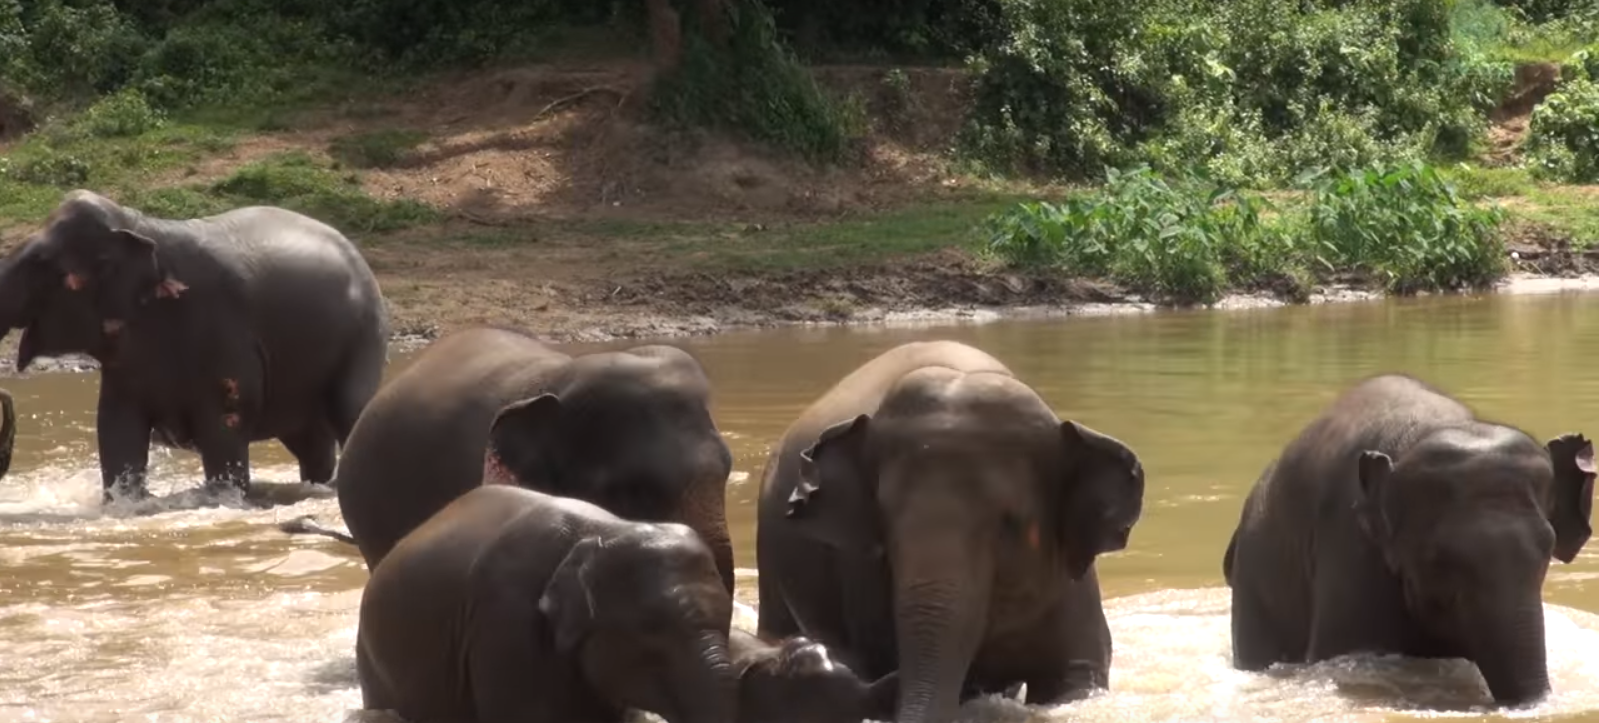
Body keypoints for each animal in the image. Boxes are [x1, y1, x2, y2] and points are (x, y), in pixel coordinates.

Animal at [0, 190, 389, 501]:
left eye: (38, 262)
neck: (139, 223)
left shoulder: (225, 334)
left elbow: (226, 425)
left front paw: (224, 500)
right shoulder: (124, 367)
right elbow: (116, 429)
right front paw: (127, 503)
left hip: (364, 336)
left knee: (351, 412)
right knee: (312, 444)